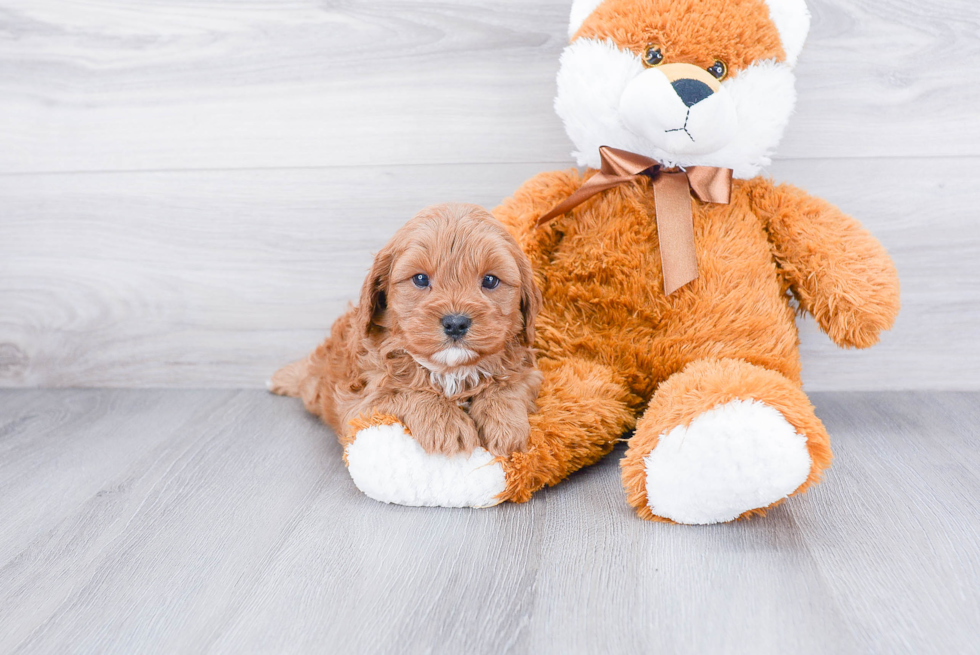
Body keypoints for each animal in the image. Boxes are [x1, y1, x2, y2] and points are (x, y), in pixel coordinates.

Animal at [270, 202, 544, 458]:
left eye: (490, 280)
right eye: (420, 279)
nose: (456, 323)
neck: (451, 372)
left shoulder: (530, 374)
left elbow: (509, 384)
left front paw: (504, 424)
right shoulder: (359, 404)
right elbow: (405, 391)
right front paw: (446, 422)